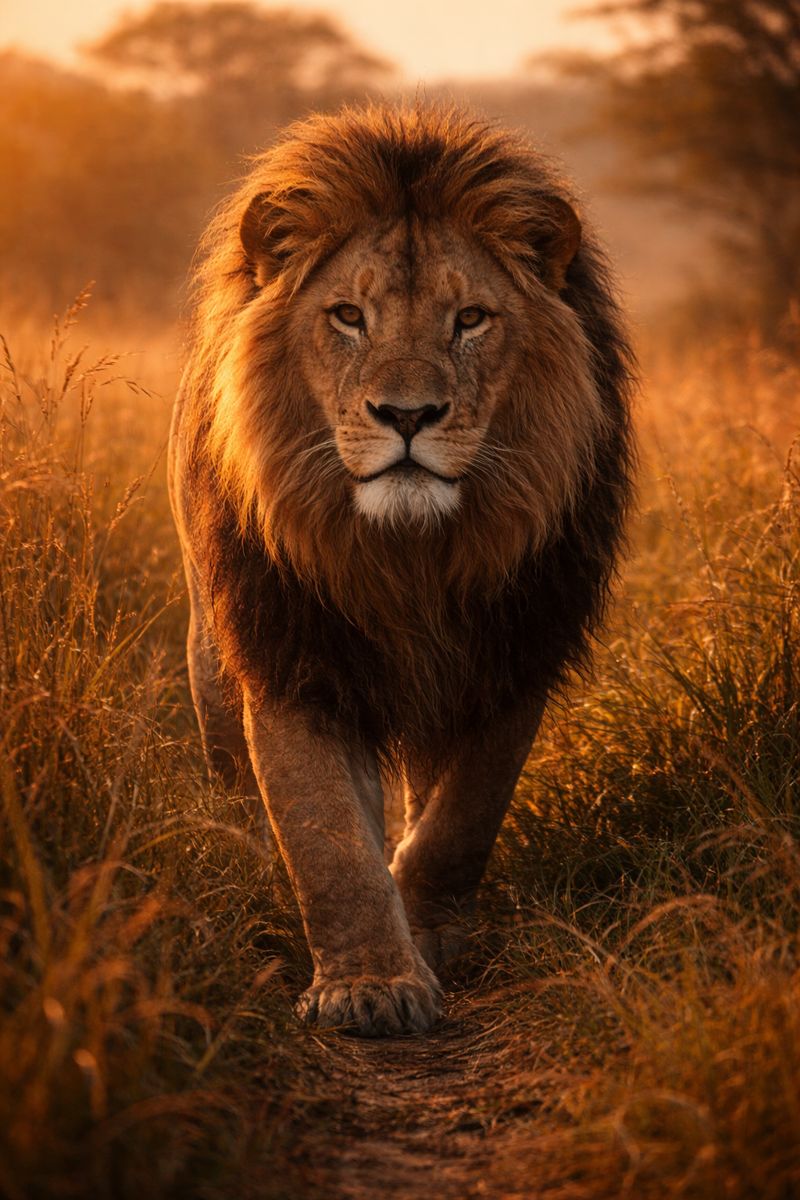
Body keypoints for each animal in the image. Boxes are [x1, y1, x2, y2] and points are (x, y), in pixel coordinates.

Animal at [169, 103, 635, 1037]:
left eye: (471, 319)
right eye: (348, 316)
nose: (408, 415)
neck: (409, 557)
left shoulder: (514, 655)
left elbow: (461, 820)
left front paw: (426, 937)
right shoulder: (293, 657)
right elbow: (326, 838)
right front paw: (370, 985)